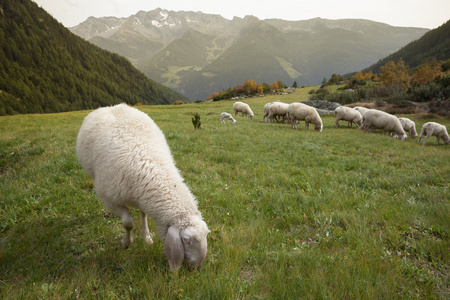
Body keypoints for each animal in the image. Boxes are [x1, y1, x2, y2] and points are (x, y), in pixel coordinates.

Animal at [76, 104, 210, 274]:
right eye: (186, 240)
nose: (197, 267)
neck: (148, 164)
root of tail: (112, 106)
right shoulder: (109, 199)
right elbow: (128, 223)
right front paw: (126, 243)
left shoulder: (142, 194)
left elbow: (143, 214)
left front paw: (146, 237)